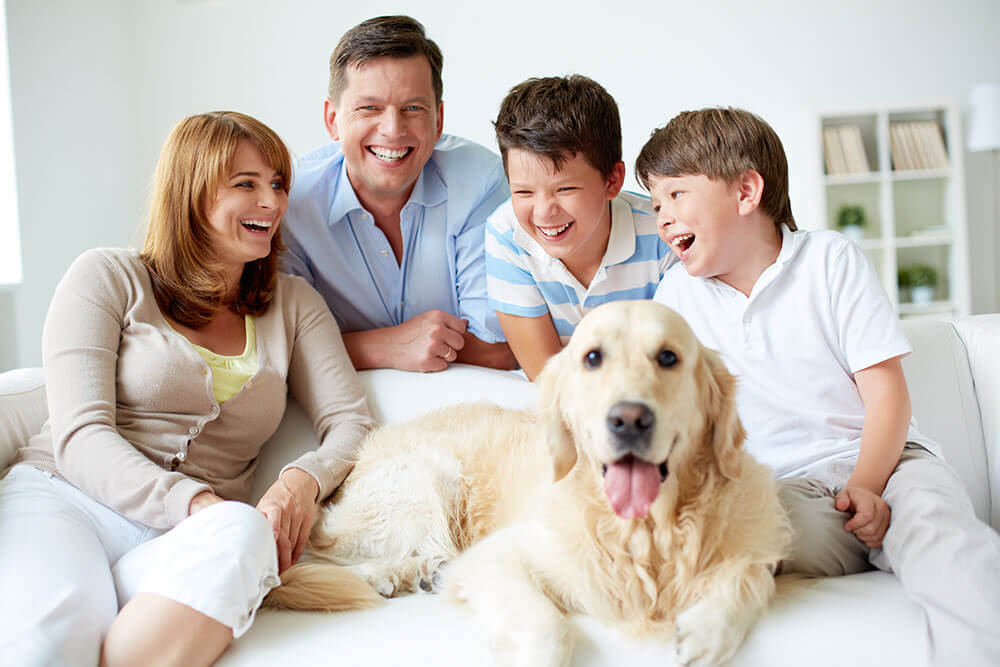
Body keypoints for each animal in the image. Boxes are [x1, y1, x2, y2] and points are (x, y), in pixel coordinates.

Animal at [266, 304, 788, 667]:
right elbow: (549, 627)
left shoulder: (754, 547)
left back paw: (421, 573)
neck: (646, 533)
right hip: (429, 478)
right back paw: (387, 575)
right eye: (592, 359)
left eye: (668, 358)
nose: (628, 419)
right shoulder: (502, 557)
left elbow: (753, 576)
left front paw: (705, 632)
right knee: (308, 560)